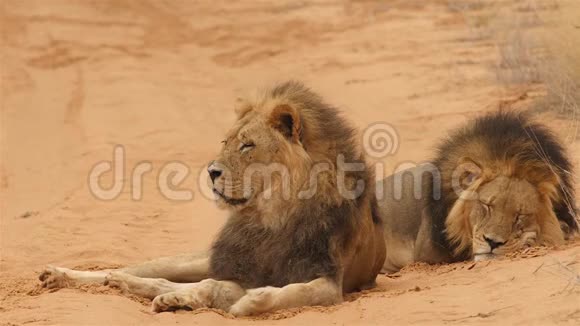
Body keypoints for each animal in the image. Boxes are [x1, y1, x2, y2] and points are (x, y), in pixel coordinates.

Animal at [37, 81, 386, 316]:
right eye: (225, 142)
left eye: (247, 145)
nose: (211, 172)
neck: (274, 214)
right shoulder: (237, 267)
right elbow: (212, 285)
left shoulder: (329, 281)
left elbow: (292, 291)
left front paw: (250, 301)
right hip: (193, 260)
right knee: (133, 271)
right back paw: (64, 276)